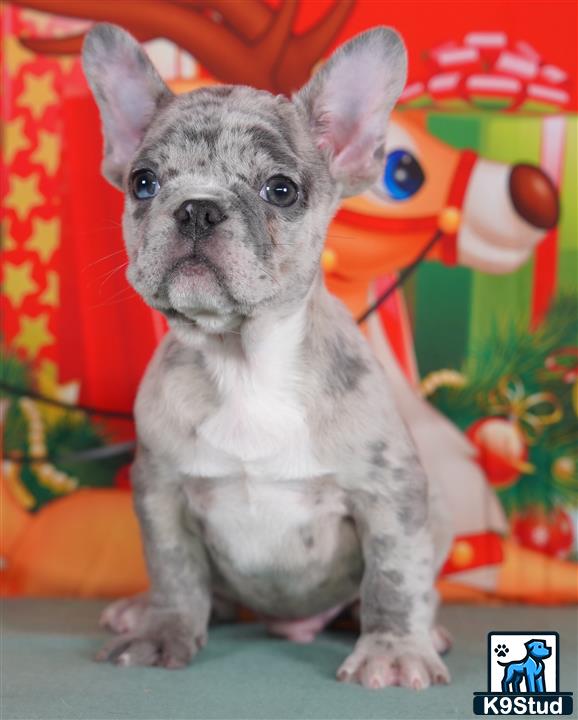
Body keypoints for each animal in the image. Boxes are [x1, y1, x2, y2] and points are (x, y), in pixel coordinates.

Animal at [82, 21, 450, 688]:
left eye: (280, 190)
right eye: (143, 182)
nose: (197, 207)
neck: (243, 362)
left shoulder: (388, 490)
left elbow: (394, 572)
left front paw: (393, 650)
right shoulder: (161, 490)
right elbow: (174, 570)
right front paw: (164, 630)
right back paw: (139, 610)